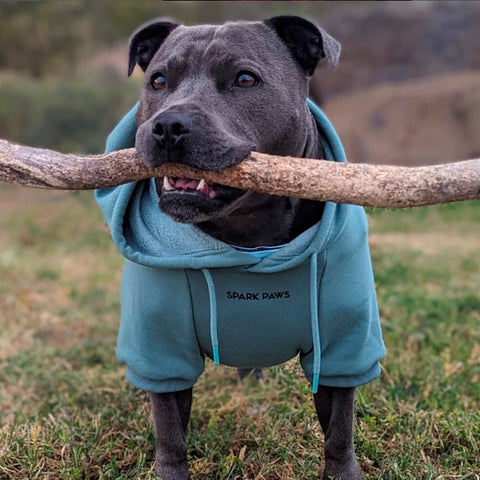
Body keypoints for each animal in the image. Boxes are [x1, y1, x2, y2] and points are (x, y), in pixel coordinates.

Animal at [95, 15, 384, 480]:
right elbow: (169, 432)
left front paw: (344, 472)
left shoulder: (343, 347)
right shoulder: (162, 352)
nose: (169, 125)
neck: (248, 236)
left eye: (245, 79)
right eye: (158, 80)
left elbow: (340, 428)